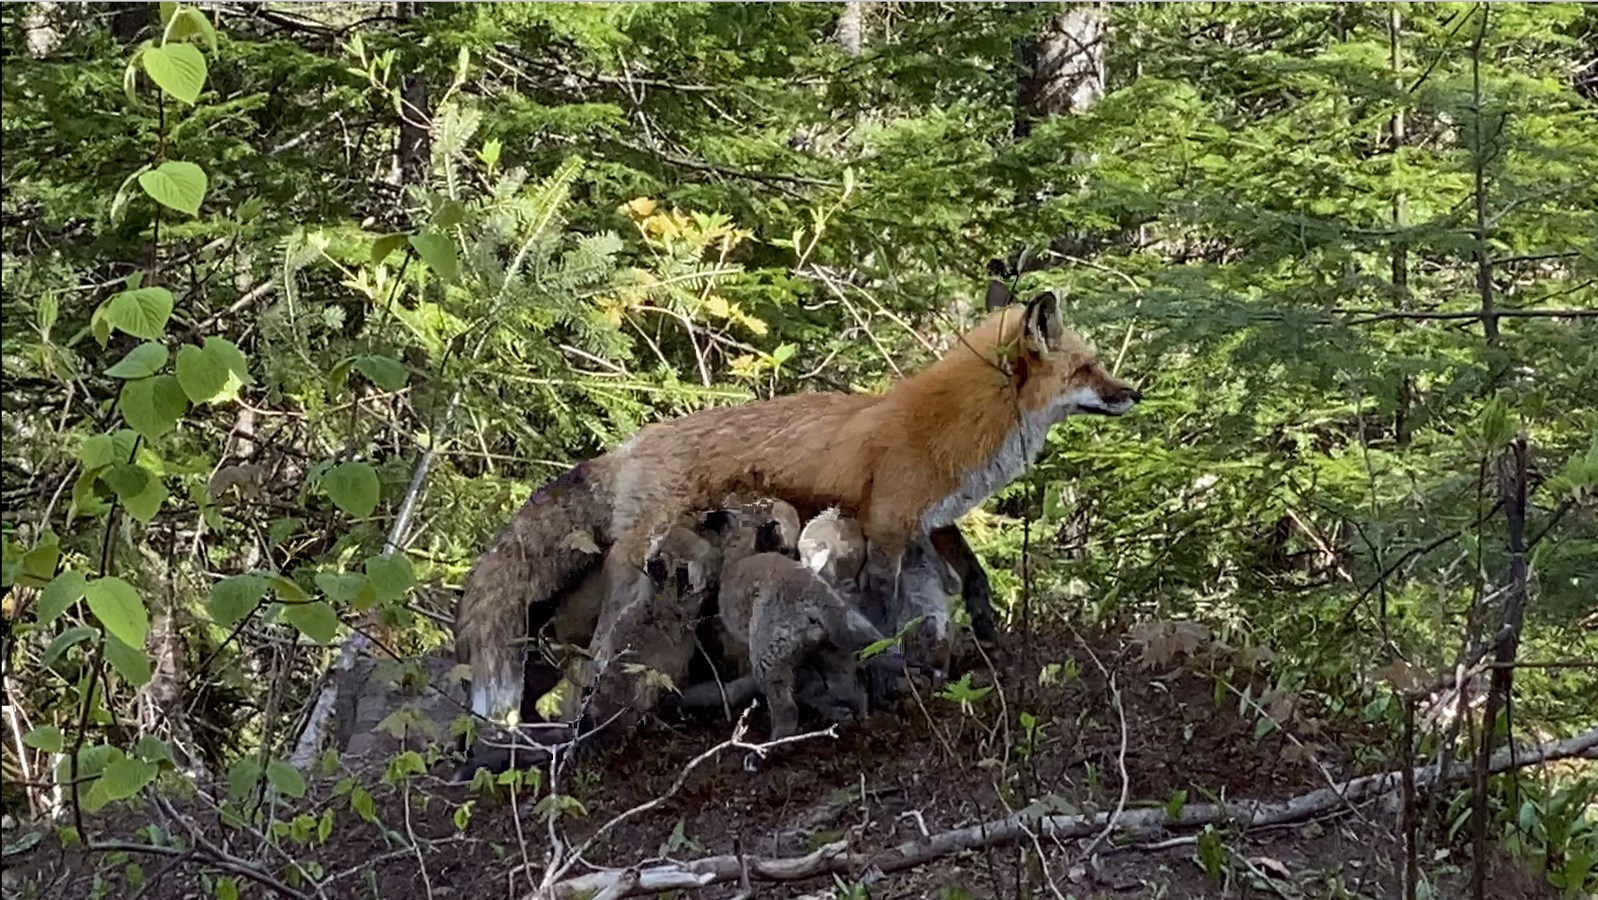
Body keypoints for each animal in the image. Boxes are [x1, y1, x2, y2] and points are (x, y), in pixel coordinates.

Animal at [454, 279, 1142, 742]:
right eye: (1088, 368)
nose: (1134, 393)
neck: (949, 427)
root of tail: (630, 445)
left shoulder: (932, 518)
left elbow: (974, 577)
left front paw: (989, 635)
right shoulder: (887, 526)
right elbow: (882, 615)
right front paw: (887, 678)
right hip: (633, 576)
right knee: (597, 655)